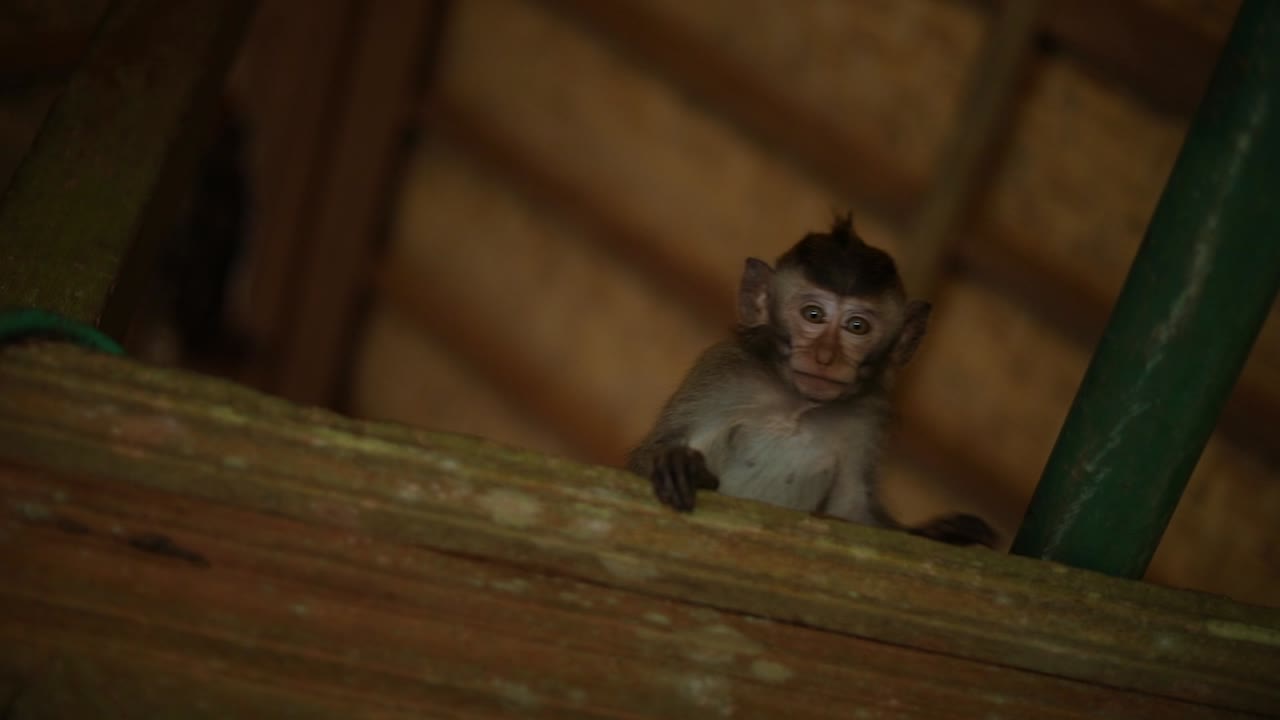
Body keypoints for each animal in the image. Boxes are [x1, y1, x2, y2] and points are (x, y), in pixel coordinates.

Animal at [626, 215, 996, 547]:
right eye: (813, 315)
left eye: (857, 326)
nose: (825, 357)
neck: (796, 404)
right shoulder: (724, 374)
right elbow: (649, 458)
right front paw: (680, 466)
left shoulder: (868, 416)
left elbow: (854, 511)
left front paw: (943, 533)